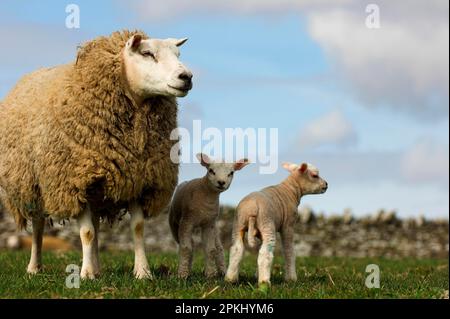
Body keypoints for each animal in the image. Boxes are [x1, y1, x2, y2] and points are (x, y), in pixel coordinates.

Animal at [0, 30, 192, 280]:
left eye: (178, 54)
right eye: (147, 53)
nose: (186, 76)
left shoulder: (137, 178)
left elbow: (137, 228)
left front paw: (143, 272)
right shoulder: (74, 182)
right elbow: (87, 232)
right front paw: (86, 274)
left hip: (97, 191)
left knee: (97, 227)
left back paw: (98, 267)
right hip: (34, 186)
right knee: (38, 226)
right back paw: (35, 267)